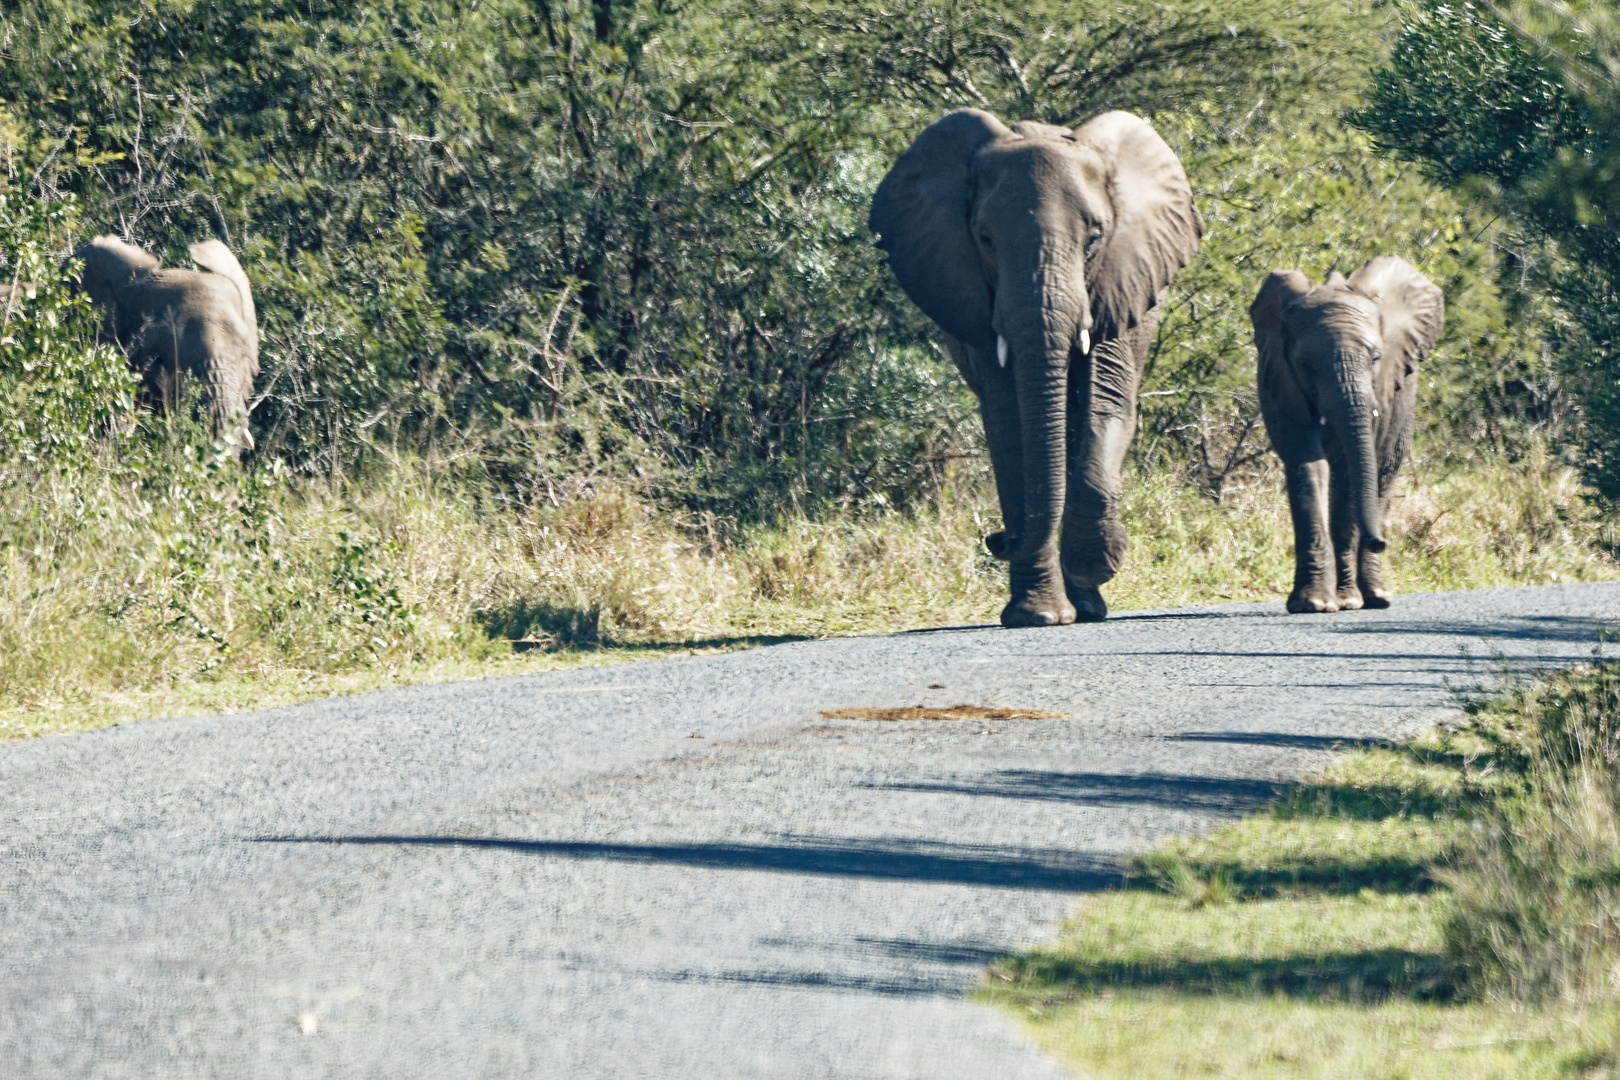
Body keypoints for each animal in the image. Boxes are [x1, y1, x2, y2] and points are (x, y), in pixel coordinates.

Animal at [874, 107, 1205, 625]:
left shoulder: (1114, 284)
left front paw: (1099, 560)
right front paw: (1037, 616)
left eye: (1094, 238)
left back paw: (1087, 603)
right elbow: (1009, 427)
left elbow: (1105, 406)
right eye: (985, 239)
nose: (996, 539)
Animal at [1244, 257, 1451, 615]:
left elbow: (1350, 478)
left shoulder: (1383, 387)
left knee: (1381, 475)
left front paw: (1346, 600)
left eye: (1376, 358)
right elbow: (1308, 466)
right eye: (1305, 364)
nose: (1380, 542)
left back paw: (1374, 598)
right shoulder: (1278, 377)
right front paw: (1312, 603)